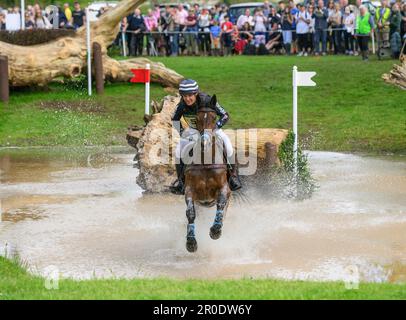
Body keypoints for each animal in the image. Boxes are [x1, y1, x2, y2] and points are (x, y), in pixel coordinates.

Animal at [182, 95, 232, 252]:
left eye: (214, 117)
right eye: (196, 119)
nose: (205, 143)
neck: (205, 161)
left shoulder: (224, 189)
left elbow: (220, 204)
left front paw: (215, 230)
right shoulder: (189, 190)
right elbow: (190, 213)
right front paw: (191, 242)